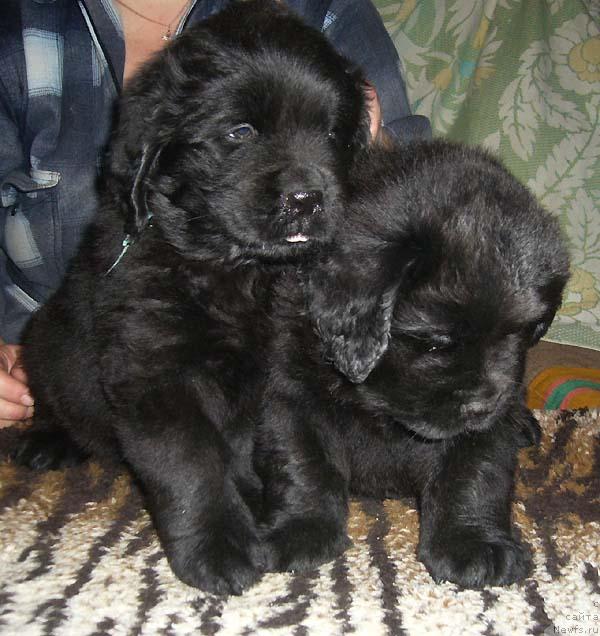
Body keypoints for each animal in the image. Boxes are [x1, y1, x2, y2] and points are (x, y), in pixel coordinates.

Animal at [14, 1, 368, 596]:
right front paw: (220, 548)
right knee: (49, 397)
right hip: (44, 339)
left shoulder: (284, 373)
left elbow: (297, 449)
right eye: (240, 132)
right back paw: (48, 441)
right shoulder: (156, 372)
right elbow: (192, 464)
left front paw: (300, 526)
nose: (307, 199)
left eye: (333, 133)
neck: (240, 273)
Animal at [260, 142, 568, 588]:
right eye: (436, 343)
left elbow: (474, 472)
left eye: (519, 335)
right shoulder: (294, 392)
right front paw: (301, 531)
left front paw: (473, 543)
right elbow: (303, 464)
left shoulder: (485, 427)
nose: (484, 406)